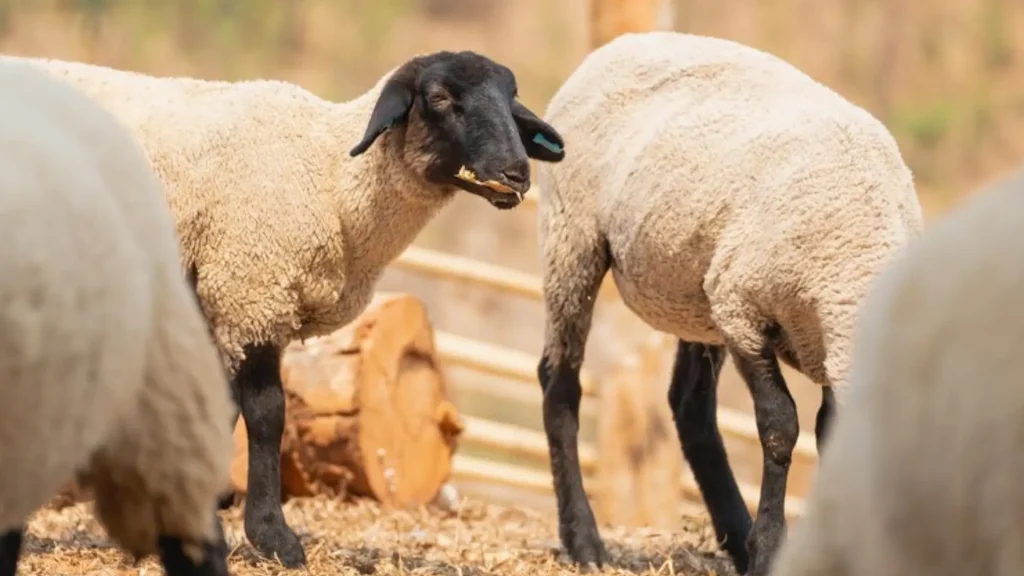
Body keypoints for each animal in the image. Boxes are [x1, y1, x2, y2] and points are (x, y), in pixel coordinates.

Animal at [533, 31, 924, 576]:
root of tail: (618, 45)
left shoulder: (822, 342)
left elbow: (825, 434)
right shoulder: (742, 309)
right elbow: (781, 426)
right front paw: (770, 548)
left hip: (695, 296)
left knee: (688, 405)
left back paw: (735, 537)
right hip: (572, 234)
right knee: (560, 383)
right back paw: (585, 543)